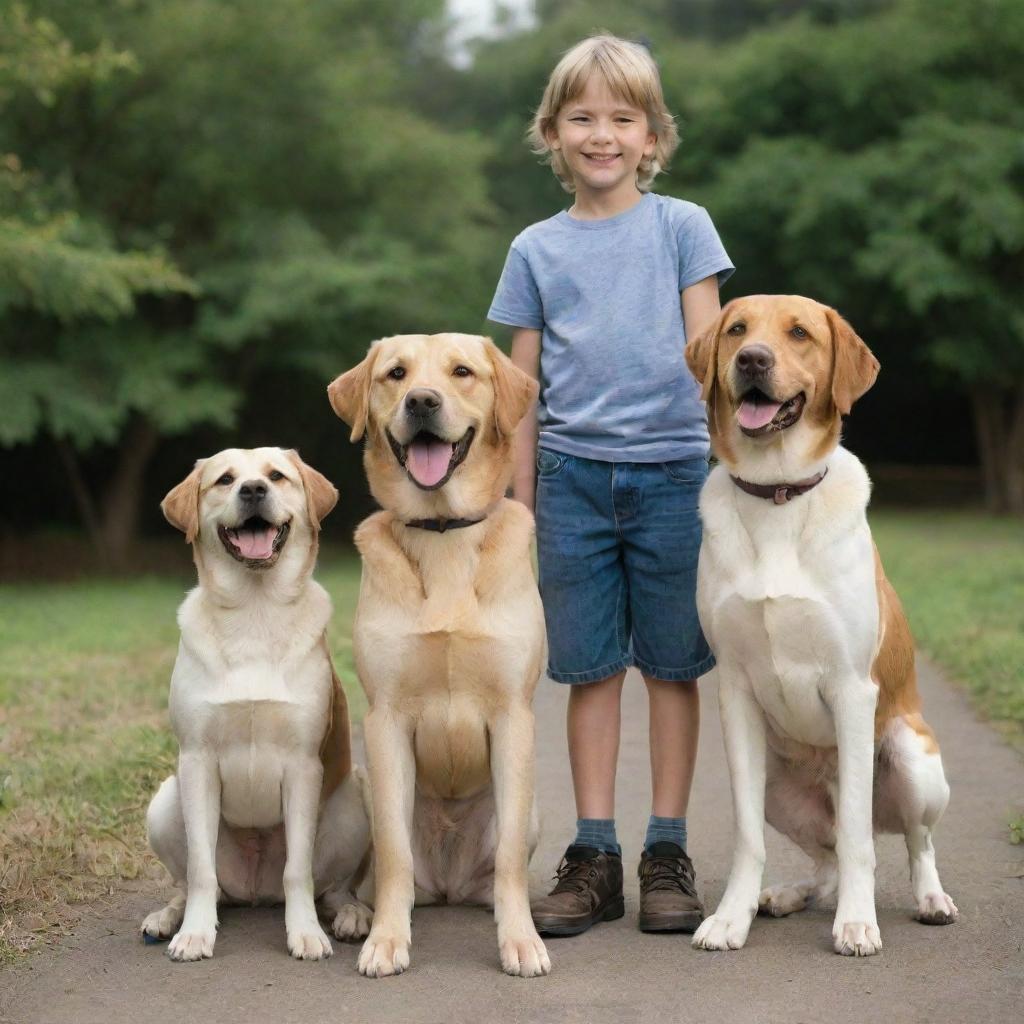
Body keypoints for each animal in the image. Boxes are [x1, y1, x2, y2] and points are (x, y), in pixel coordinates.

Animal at [140, 446, 372, 958]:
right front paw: (195, 933)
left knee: (334, 887)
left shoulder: (303, 764)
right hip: (165, 800)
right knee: (190, 883)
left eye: (276, 476)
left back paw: (349, 916)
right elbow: (201, 871)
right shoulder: (197, 760)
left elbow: (298, 872)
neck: (255, 611)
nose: (252, 490)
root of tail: (254, 891)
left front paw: (305, 932)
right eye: (225, 479)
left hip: (352, 802)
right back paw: (167, 917)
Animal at [327, 331, 552, 978]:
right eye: (396, 374)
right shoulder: (384, 720)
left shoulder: (514, 716)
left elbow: (509, 861)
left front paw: (520, 939)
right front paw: (386, 939)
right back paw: (355, 914)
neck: (444, 532)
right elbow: (394, 855)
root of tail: (447, 887)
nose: (422, 402)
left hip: (529, 808)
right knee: (372, 874)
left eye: (462, 372)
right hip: (361, 787)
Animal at [684, 299, 954, 958]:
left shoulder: (853, 689)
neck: (777, 493)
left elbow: (859, 837)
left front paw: (857, 924)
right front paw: (730, 919)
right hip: (779, 787)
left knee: (913, 842)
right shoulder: (734, 690)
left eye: (800, 333)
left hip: (911, 755)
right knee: (824, 858)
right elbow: (748, 838)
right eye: (737, 329)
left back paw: (931, 900)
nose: (753, 360)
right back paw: (784, 896)